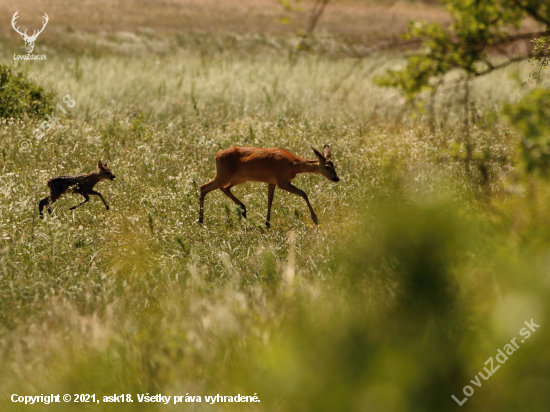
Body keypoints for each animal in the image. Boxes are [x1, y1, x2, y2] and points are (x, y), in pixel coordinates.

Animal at [198, 146, 340, 229]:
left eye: (334, 165)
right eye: (327, 167)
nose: (336, 178)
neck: (294, 164)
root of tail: (217, 155)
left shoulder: (272, 182)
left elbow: (269, 201)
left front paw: (267, 223)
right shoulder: (282, 182)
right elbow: (303, 193)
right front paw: (315, 219)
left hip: (237, 178)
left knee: (223, 188)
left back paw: (243, 210)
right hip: (223, 175)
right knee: (203, 187)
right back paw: (200, 221)